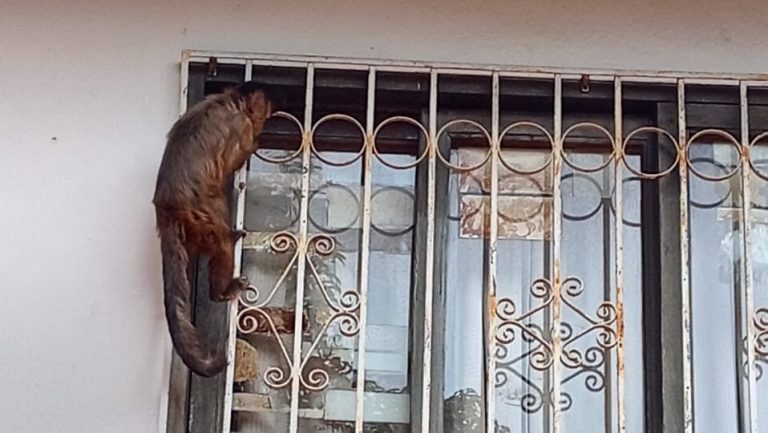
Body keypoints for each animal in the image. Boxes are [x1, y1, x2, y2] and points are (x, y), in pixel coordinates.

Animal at [153, 81, 275, 377]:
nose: (270, 109)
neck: (232, 101)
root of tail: (166, 208)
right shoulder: (241, 125)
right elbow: (236, 157)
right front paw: (255, 144)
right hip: (201, 213)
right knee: (222, 241)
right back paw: (221, 290)